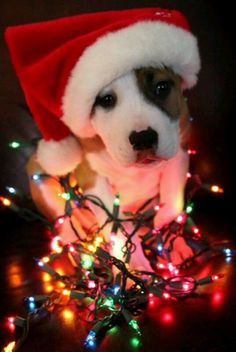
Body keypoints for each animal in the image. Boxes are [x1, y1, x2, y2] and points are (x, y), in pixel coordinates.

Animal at [26, 66, 194, 270]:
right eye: (106, 100)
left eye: (162, 87)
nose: (143, 138)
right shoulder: (92, 179)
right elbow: (117, 228)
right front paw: (134, 269)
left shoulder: (180, 152)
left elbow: (171, 204)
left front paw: (171, 240)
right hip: (39, 171)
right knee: (64, 221)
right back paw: (80, 250)